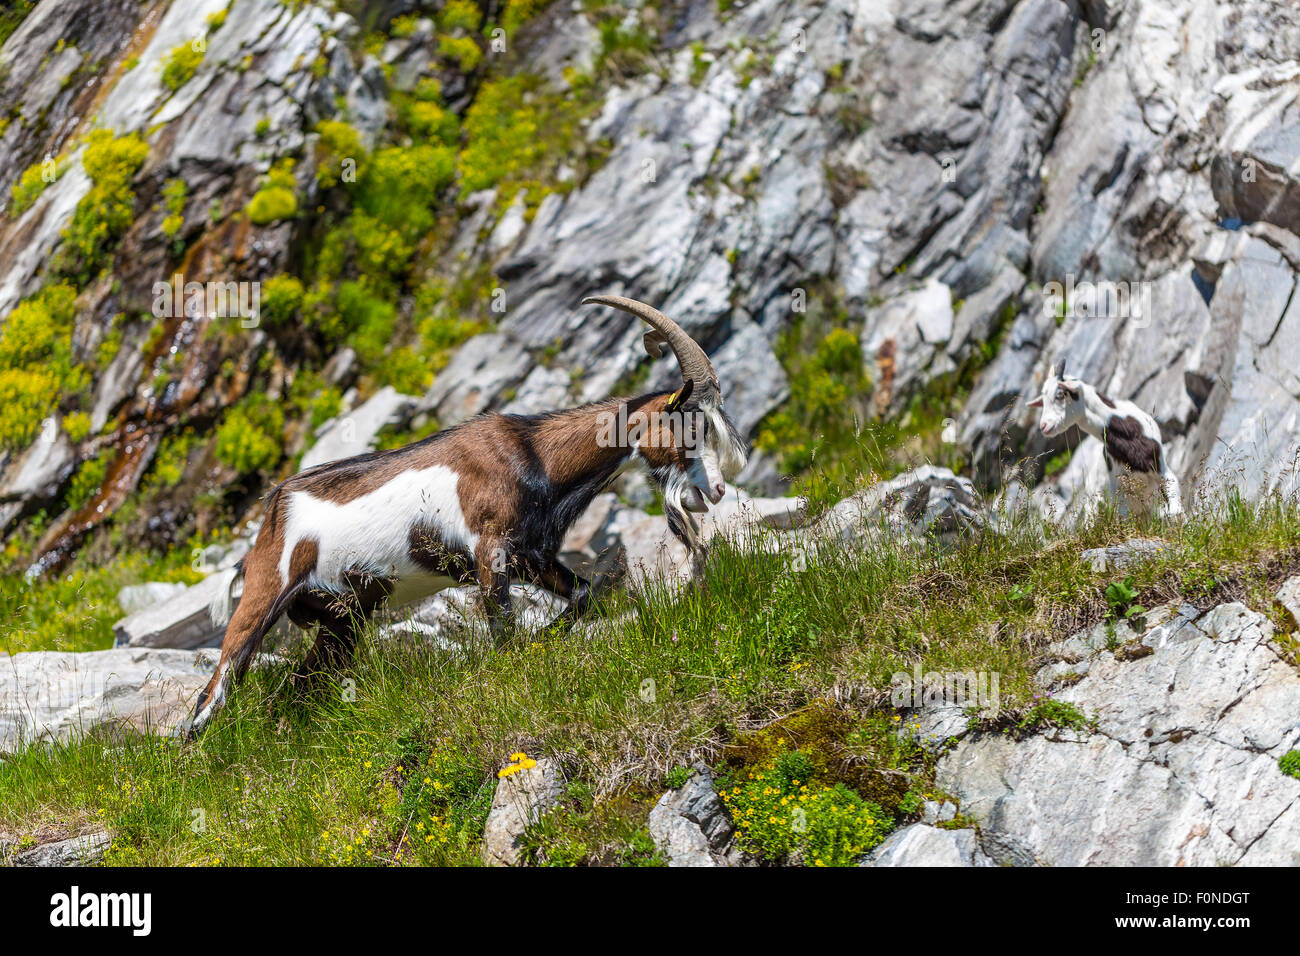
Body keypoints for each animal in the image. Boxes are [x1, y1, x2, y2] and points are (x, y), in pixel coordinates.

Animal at [188, 297, 748, 733]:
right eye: (692, 424)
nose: (717, 489)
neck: (534, 456)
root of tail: (270, 518)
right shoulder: (490, 552)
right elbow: (502, 633)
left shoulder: (533, 555)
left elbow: (585, 596)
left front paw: (542, 644)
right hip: (264, 597)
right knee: (211, 698)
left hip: (343, 617)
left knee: (301, 686)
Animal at [1029, 358, 1185, 522]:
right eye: (1043, 400)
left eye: (1060, 394)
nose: (1044, 426)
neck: (1130, 436)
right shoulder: (1118, 487)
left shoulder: (1163, 471)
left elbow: (1175, 511)